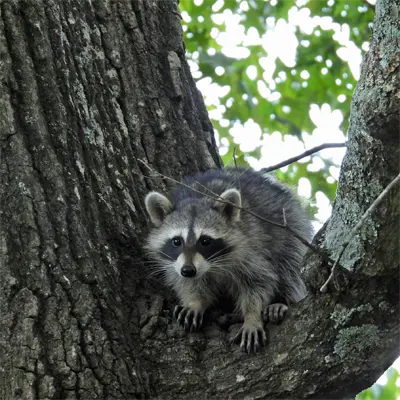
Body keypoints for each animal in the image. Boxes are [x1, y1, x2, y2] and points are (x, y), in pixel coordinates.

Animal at [144, 168, 312, 354]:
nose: (188, 270)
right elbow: (188, 283)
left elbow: (259, 282)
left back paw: (283, 302)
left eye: (205, 241)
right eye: (176, 241)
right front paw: (195, 302)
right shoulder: (176, 265)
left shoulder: (251, 248)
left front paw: (252, 316)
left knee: (290, 265)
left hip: (291, 225)